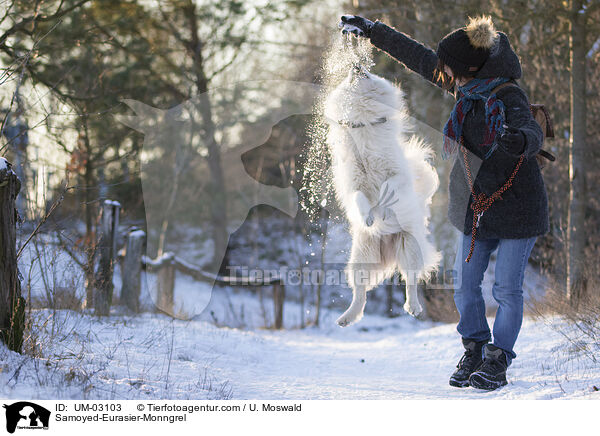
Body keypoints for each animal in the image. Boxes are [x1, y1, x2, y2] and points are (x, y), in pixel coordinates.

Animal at [324, 65, 440, 328]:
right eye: (352, 74)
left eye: (366, 73)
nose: (356, 65)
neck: (363, 122)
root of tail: (388, 250)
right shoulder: (353, 184)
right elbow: (360, 199)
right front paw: (369, 215)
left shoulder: (397, 174)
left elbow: (388, 185)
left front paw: (385, 206)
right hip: (360, 259)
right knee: (360, 292)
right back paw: (347, 317)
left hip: (409, 248)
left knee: (411, 281)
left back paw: (413, 307)